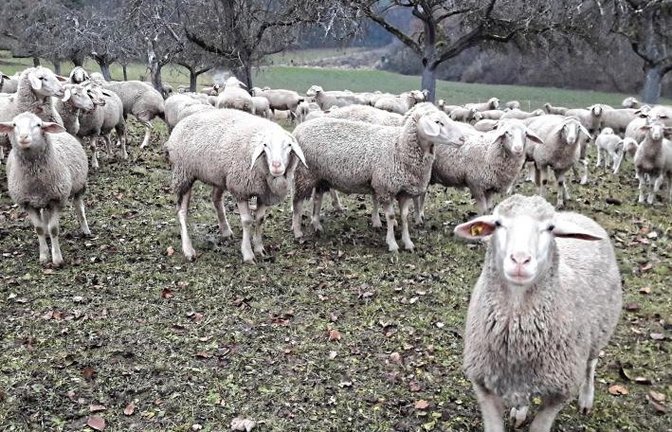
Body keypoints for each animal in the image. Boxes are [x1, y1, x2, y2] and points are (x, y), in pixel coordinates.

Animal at [0, 112, 91, 267]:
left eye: (38, 125)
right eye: (14, 125)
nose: (23, 137)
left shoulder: (57, 200)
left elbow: (54, 229)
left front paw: (57, 259)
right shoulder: (28, 203)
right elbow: (39, 229)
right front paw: (43, 256)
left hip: (79, 185)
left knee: (79, 207)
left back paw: (85, 230)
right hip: (43, 200)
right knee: (45, 216)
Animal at [165, 109, 307, 263]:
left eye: (289, 145)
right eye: (265, 145)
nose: (276, 166)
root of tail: (182, 122)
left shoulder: (264, 193)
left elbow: (260, 219)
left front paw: (259, 248)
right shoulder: (240, 189)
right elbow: (247, 221)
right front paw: (248, 254)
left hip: (219, 176)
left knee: (216, 199)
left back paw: (225, 230)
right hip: (183, 174)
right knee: (182, 212)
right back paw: (188, 249)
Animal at [291, 104, 464, 253]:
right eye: (437, 122)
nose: (462, 139)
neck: (399, 147)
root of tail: (298, 129)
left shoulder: (404, 191)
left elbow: (404, 217)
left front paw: (408, 243)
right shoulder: (386, 187)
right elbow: (391, 216)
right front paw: (392, 244)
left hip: (320, 176)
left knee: (317, 199)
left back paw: (317, 225)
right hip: (304, 174)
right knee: (297, 203)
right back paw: (298, 231)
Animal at [413, 119, 543, 221]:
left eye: (525, 133)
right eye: (507, 133)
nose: (518, 148)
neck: (490, 150)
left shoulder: (490, 187)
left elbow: (489, 208)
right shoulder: (476, 185)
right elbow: (484, 210)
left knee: (422, 193)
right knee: (420, 194)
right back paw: (419, 216)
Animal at [454, 194, 621, 432]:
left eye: (550, 228)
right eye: (498, 223)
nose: (520, 260)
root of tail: (576, 215)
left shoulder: (559, 392)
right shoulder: (483, 384)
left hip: (600, 330)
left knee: (591, 364)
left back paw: (586, 399)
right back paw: (519, 411)